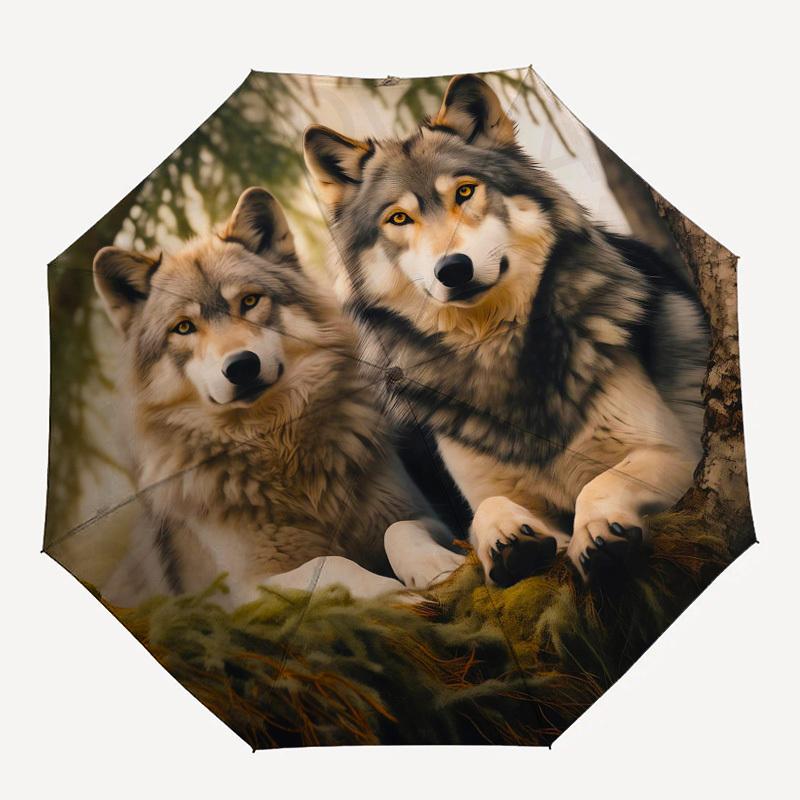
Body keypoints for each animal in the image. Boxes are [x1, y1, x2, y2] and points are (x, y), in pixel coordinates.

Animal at [94, 187, 463, 609]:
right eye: (184, 327)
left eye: (250, 301)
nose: (241, 366)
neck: (278, 447)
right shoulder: (241, 590)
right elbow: (330, 563)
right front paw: (389, 593)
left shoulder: (429, 515)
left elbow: (399, 530)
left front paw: (437, 566)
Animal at [303, 74, 709, 586]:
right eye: (399, 218)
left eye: (465, 192)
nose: (453, 269)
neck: (495, 347)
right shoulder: (482, 496)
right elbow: (485, 511)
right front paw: (506, 541)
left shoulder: (677, 453)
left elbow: (598, 485)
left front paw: (598, 533)